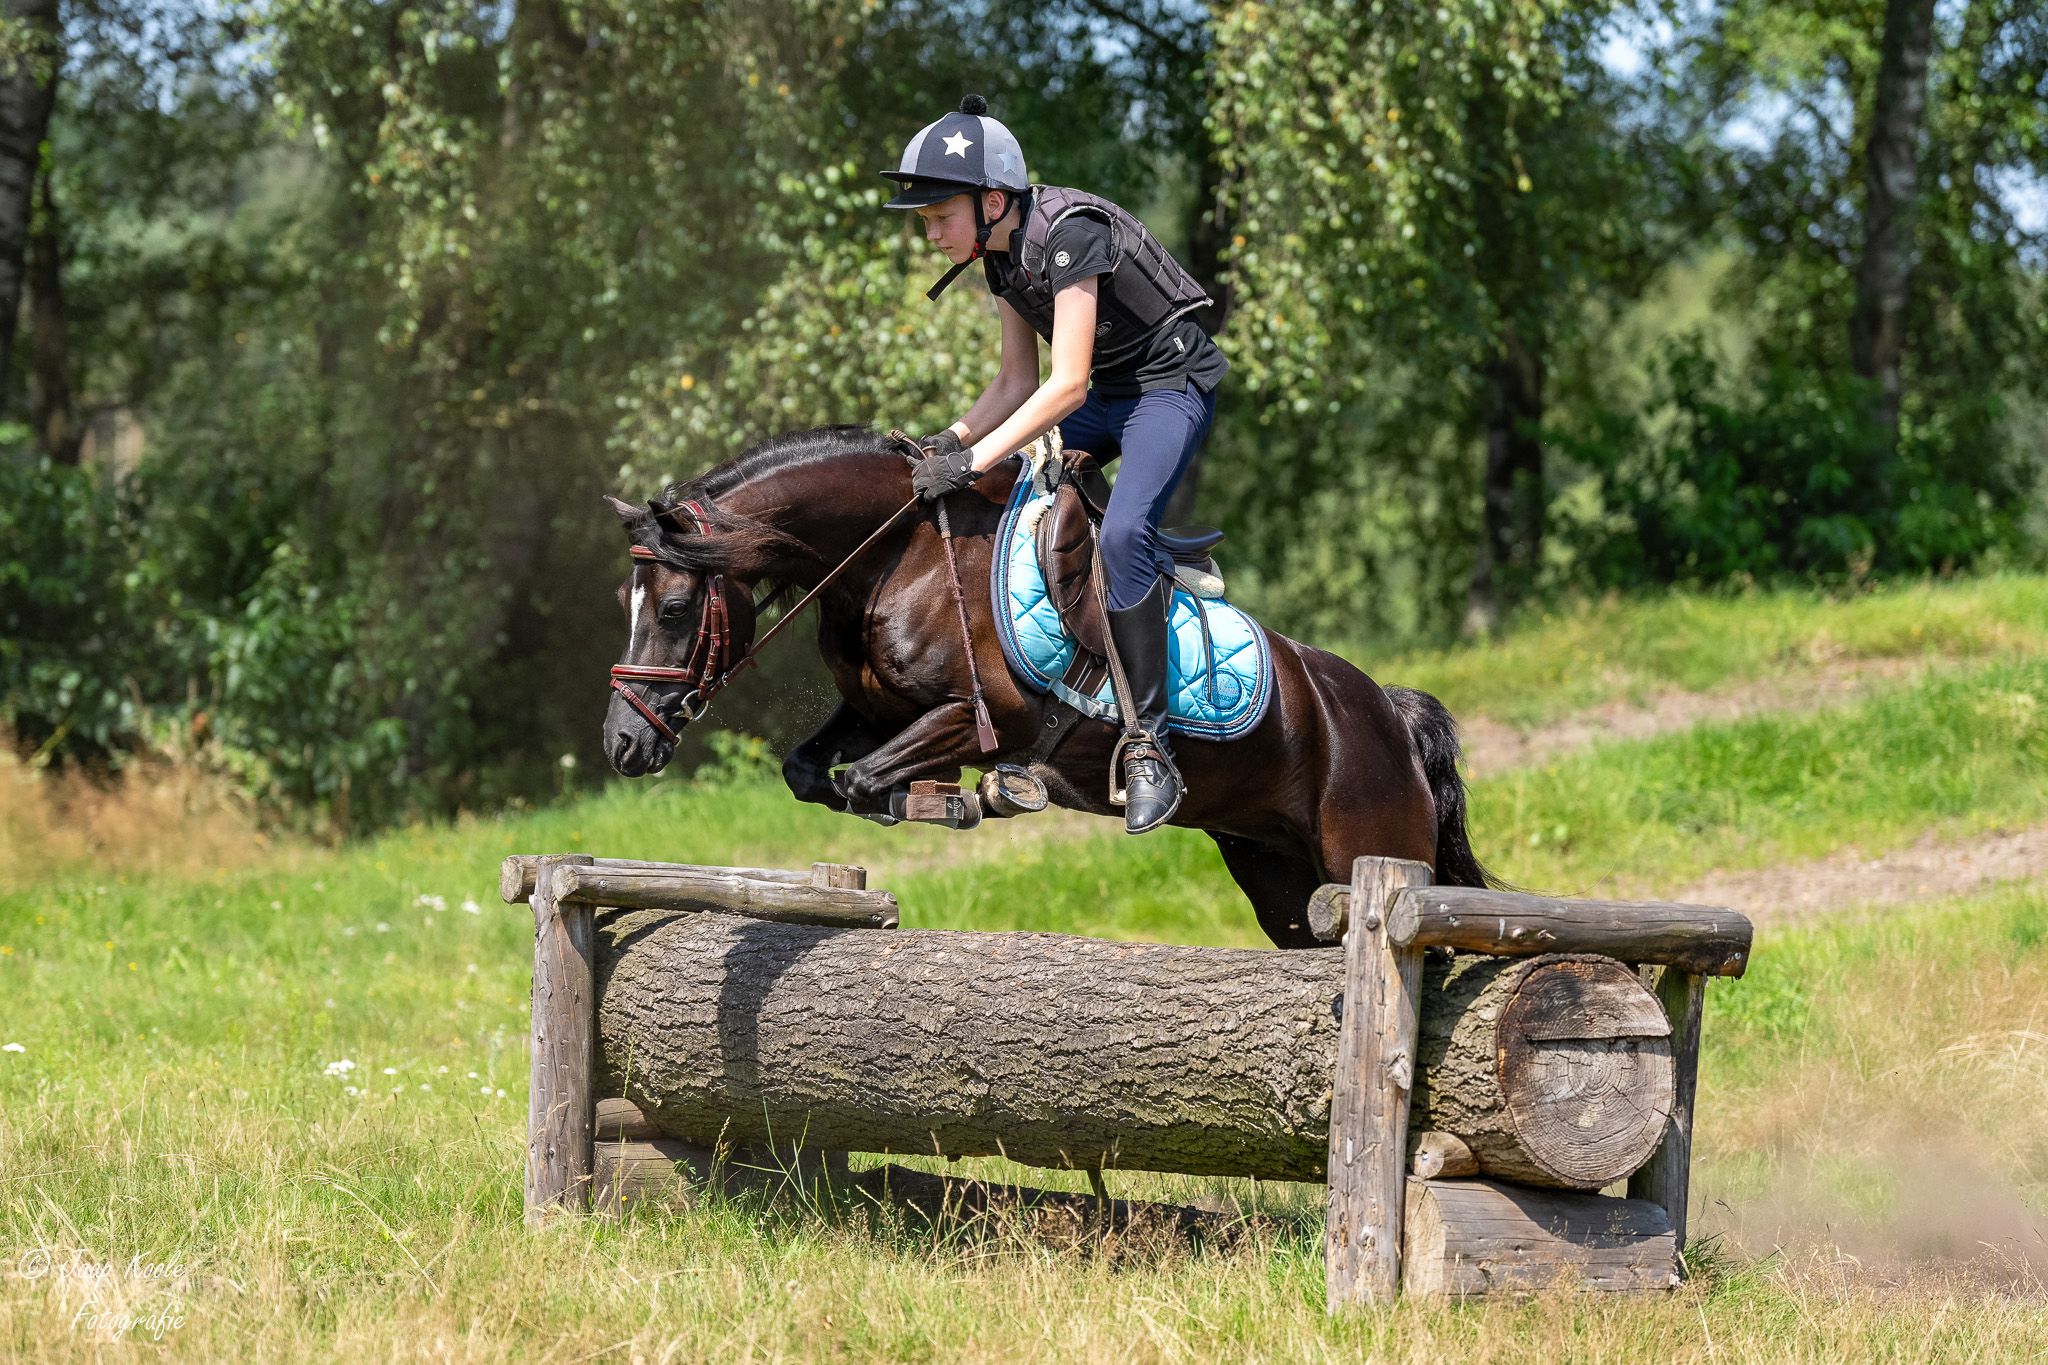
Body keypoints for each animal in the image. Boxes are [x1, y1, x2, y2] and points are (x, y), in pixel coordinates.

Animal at [600, 424, 1496, 948]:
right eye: (625, 603)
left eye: (674, 608)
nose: (623, 742)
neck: (897, 554)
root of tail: (1387, 711)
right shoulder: (875, 709)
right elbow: (813, 770)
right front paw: (929, 796)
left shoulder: (983, 713)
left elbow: (864, 778)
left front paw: (963, 798)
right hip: (1279, 876)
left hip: (1369, 851)